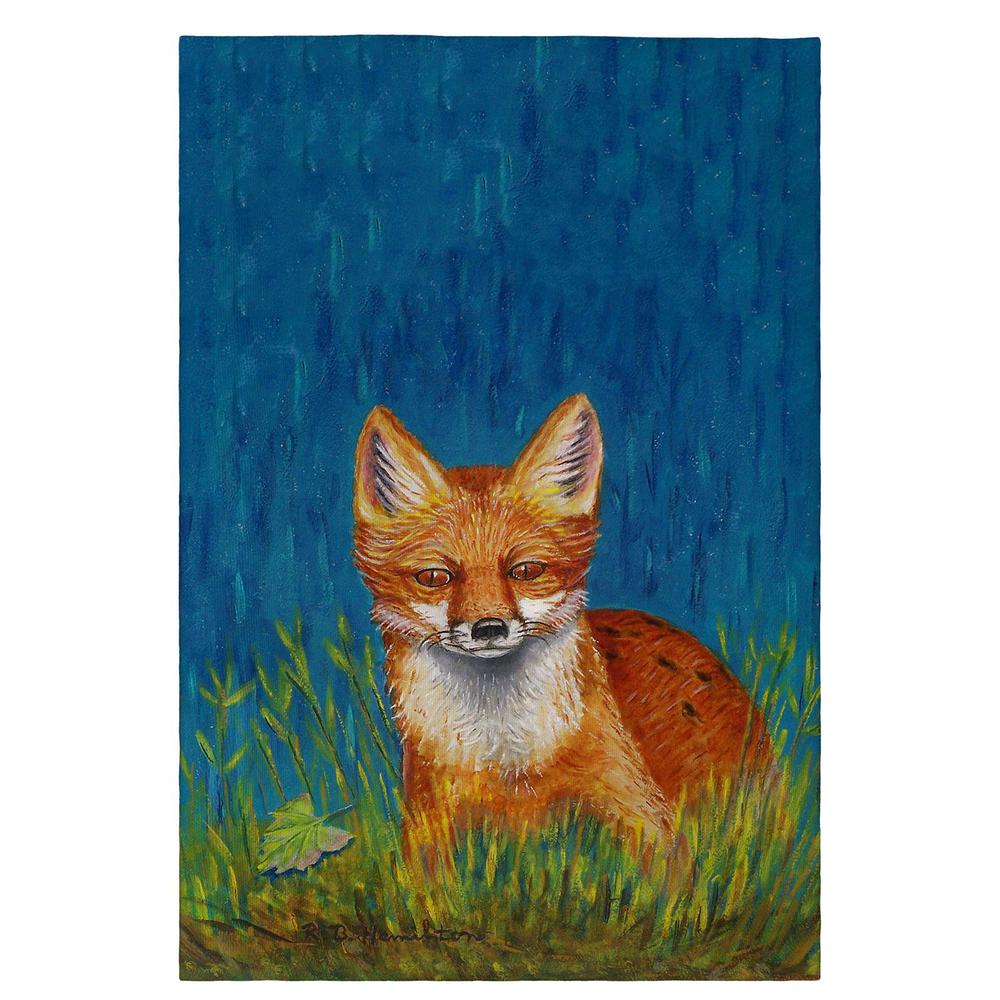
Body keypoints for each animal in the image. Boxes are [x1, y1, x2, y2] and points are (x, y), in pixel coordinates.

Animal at [353, 393, 768, 841]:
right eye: (434, 577)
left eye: (526, 571)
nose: (489, 628)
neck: (506, 761)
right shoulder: (428, 820)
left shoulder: (644, 815)